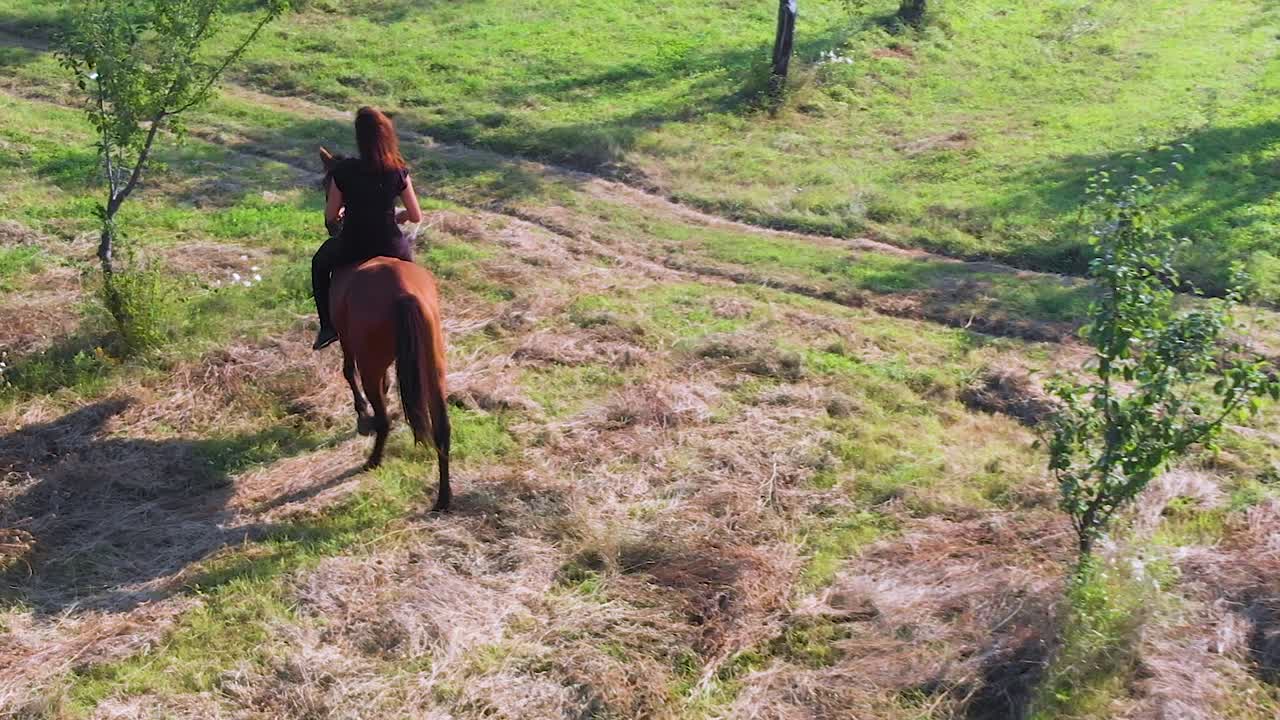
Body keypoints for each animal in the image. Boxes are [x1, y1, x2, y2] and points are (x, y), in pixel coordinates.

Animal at [319, 147, 452, 511]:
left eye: (326, 185)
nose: (331, 222)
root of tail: (403, 292)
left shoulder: (348, 341)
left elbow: (347, 372)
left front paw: (360, 413)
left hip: (371, 361)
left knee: (383, 418)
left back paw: (373, 460)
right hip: (433, 367)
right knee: (442, 428)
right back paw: (444, 498)